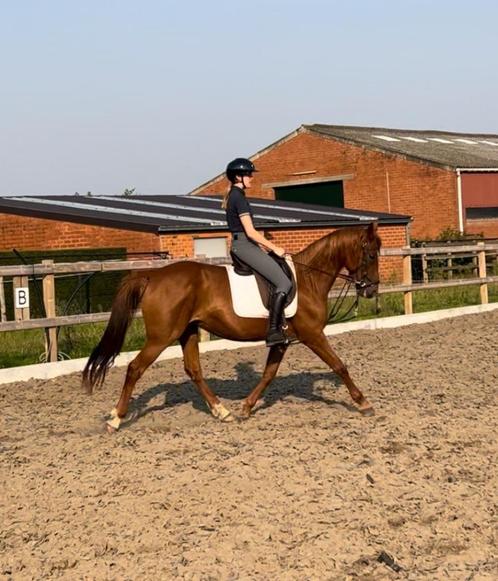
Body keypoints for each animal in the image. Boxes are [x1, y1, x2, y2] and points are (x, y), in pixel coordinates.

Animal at [82, 220, 382, 428]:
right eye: (370, 255)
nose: (371, 290)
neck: (308, 279)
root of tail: (152, 277)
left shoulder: (282, 340)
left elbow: (268, 374)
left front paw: (246, 407)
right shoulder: (313, 335)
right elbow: (339, 365)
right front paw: (364, 403)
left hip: (188, 332)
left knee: (194, 370)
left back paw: (221, 411)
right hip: (161, 337)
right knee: (135, 368)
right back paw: (116, 419)